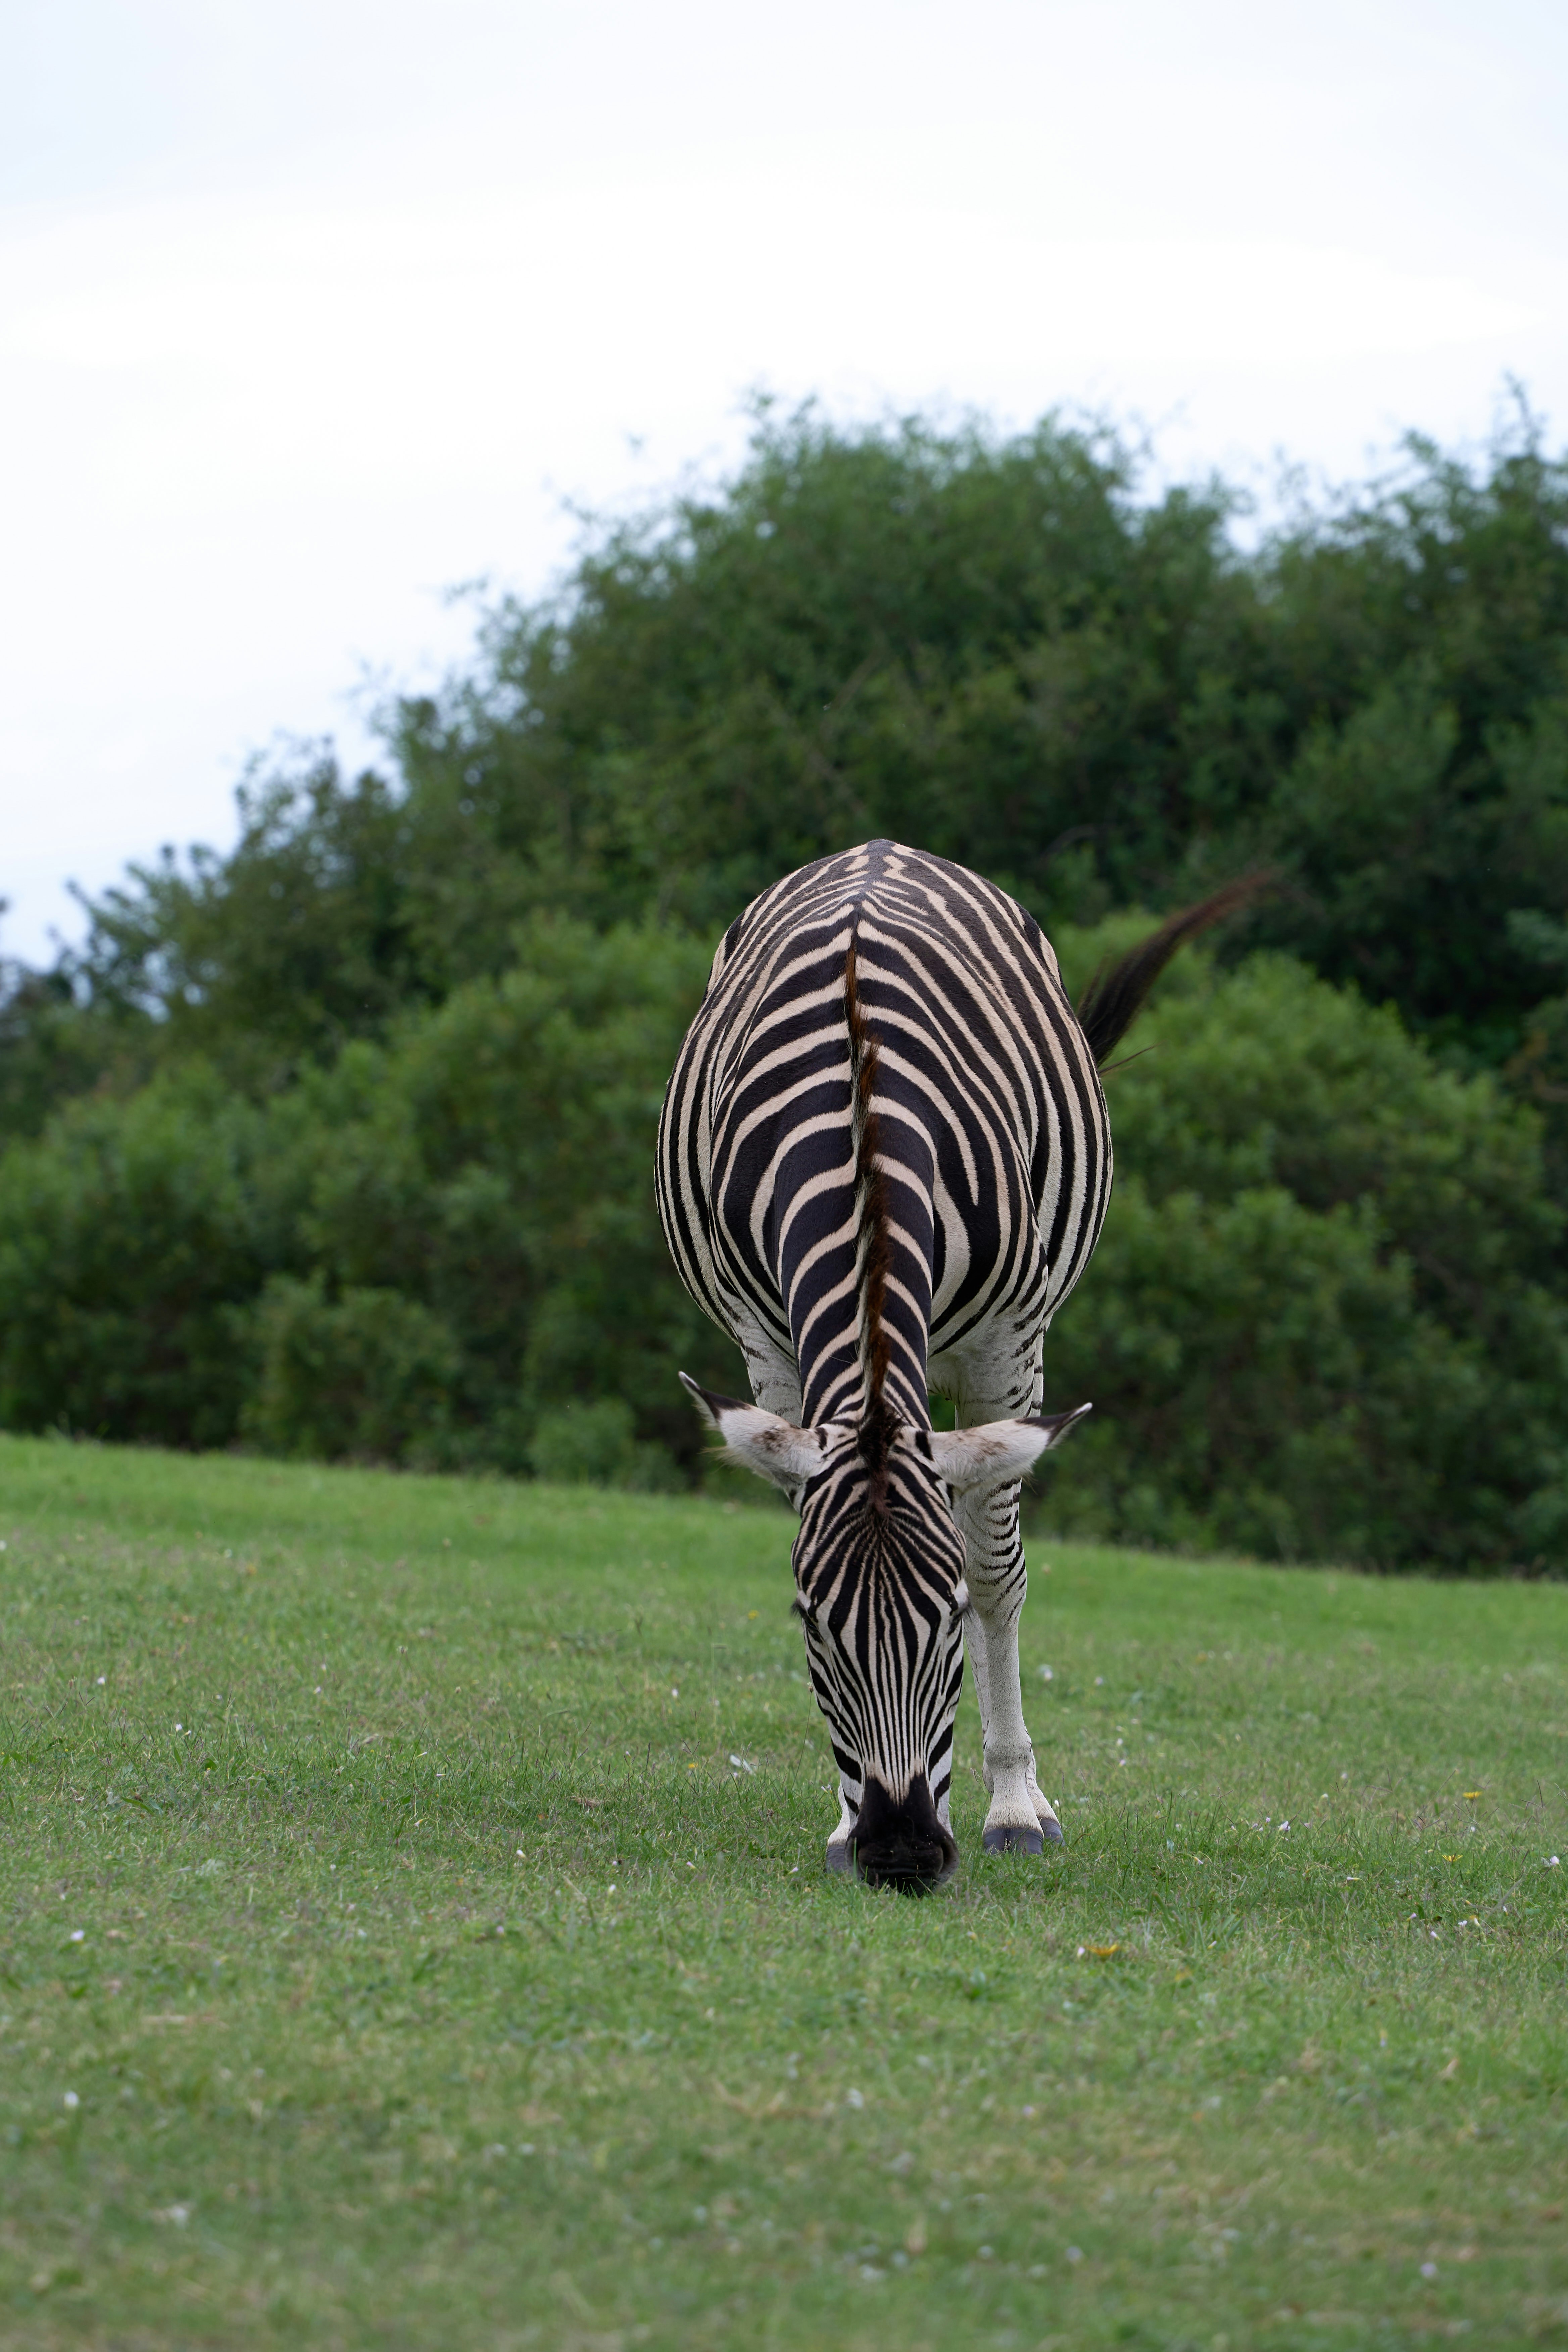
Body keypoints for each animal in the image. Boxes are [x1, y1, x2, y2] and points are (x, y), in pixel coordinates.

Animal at [656, 839, 1247, 1887]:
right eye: (812, 1628)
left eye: (946, 1624)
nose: (898, 1854)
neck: (858, 1144)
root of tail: (878, 848)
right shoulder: (766, 1346)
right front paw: (841, 1818)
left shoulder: (1009, 1345)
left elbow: (997, 1575)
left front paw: (1014, 1805)